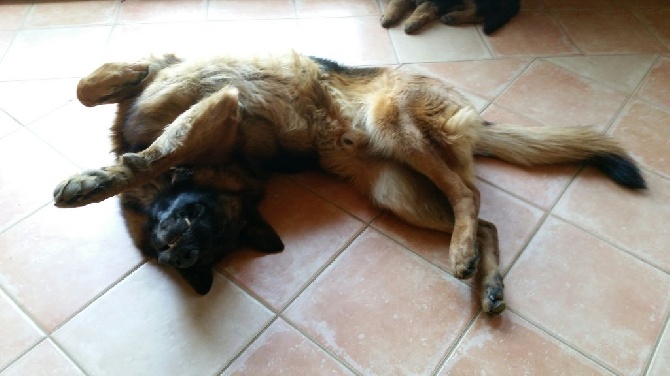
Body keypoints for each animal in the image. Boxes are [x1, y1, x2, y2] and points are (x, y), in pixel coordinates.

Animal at [55, 51, 648, 312]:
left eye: (208, 225)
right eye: (206, 246)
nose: (181, 252)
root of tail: (477, 122)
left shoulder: (220, 101)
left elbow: (150, 142)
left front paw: (98, 178)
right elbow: (91, 93)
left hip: (396, 124)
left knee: (470, 194)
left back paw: (462, 256)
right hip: (397, 192)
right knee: (486, 221)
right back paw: (487, 276)